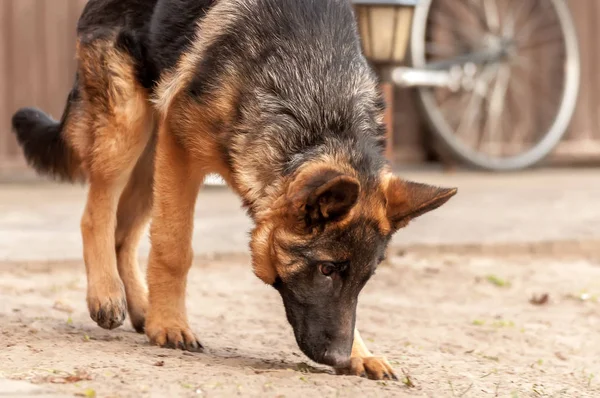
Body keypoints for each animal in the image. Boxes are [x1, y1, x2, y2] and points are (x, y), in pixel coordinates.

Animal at [10, 0, 454, 380]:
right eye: (326, 269)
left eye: (365, 277)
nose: (340, 357)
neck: (317, 108)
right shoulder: (181, 150)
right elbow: (173, 247)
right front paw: (170, 323)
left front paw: (362, 353)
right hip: (128, 128)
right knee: (95, 214)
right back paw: (107, 293)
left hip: (151, 157)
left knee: (124, 234)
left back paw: (139, 305)